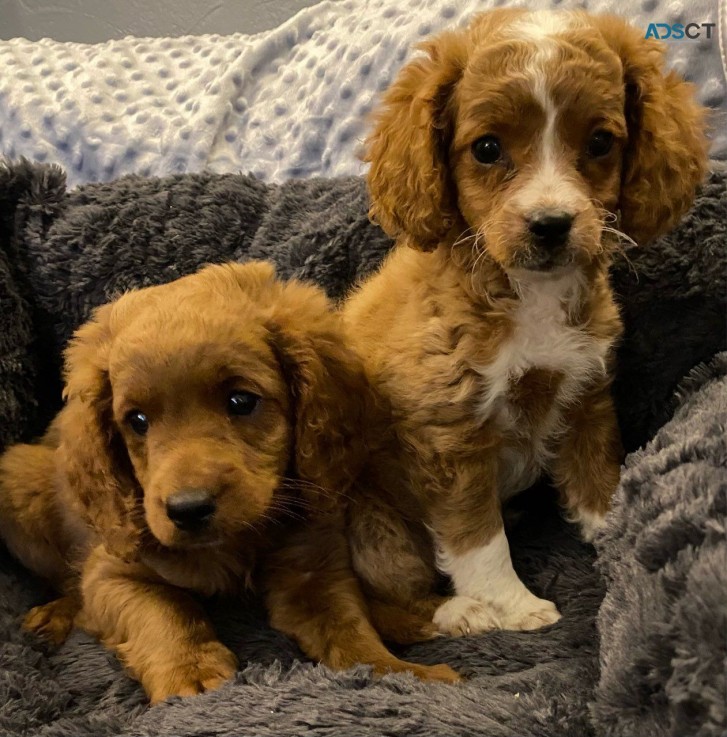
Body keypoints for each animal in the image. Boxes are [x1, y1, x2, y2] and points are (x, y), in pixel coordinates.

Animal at [0, 260, 458, 700]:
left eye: (241, 401)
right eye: (137, 420)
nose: (188, 510)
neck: (236, 544)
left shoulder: (313, 569)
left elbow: (349, 629)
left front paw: (398, 672)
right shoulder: (112, 573)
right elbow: (165, 607)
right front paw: (191, 673)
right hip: (19, 481)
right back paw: (54, 615)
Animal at [344, 8, 708, 636]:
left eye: (600, 142)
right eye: (487, 149)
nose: (551, 223)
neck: (530, 297)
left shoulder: (587, 393)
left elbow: (598, 479)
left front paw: (614, 536)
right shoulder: (450, 434)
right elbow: (478, 539)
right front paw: (511, 604)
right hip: (370, 522)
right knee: (380, 601)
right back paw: (458, 612)